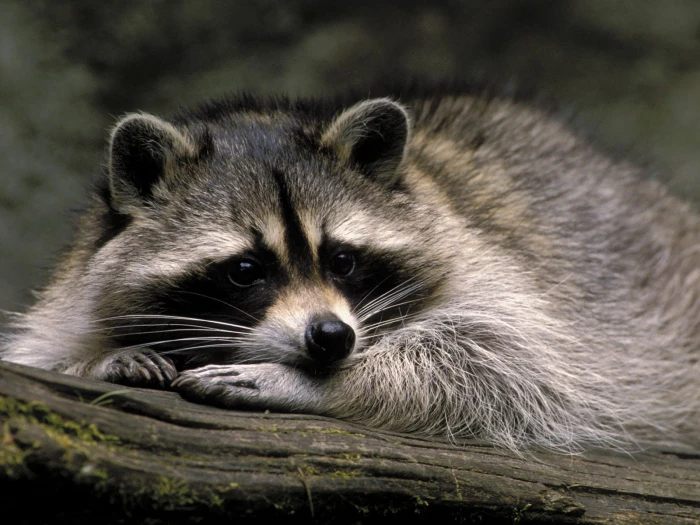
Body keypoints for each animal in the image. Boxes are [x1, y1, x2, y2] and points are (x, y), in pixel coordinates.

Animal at [2, 87, 699, 453]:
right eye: (246, 269)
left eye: (342, 259)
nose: (331, 338)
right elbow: (39, 351)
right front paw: (95, 360)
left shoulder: (497, 271)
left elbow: (506, 367)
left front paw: (314, 383)